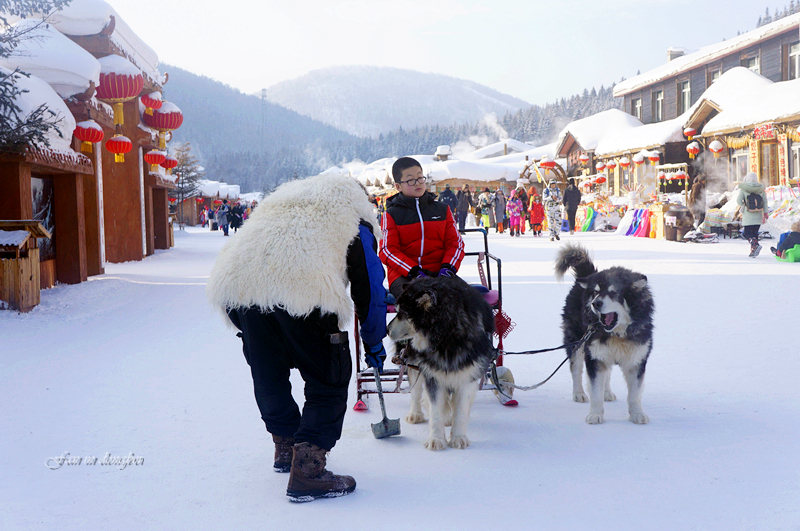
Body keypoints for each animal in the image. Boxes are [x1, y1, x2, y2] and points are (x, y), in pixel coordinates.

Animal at [388, 276, 494, 450]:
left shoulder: (467, 375)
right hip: (412, 360)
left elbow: (461, 410)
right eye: (397, 311)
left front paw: (458, 437)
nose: (386, 329)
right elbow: (435, 409)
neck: (447, 340)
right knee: (416, 390)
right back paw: (415, 413)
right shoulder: (433, 376)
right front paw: (436, 439)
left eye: (402, 313)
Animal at [556, 244, 656, 424]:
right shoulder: (594, 357)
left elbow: (635, 394)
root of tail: (588, 274)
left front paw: (637, 414)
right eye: (596, 292)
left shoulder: (636, 360)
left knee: (607, 373)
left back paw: (607, 392)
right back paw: (579, 393)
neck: (617, 334)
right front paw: (595, 414)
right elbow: (595, 391)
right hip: (576, 343)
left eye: (613, 292)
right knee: (576, 370)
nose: (595, 303)